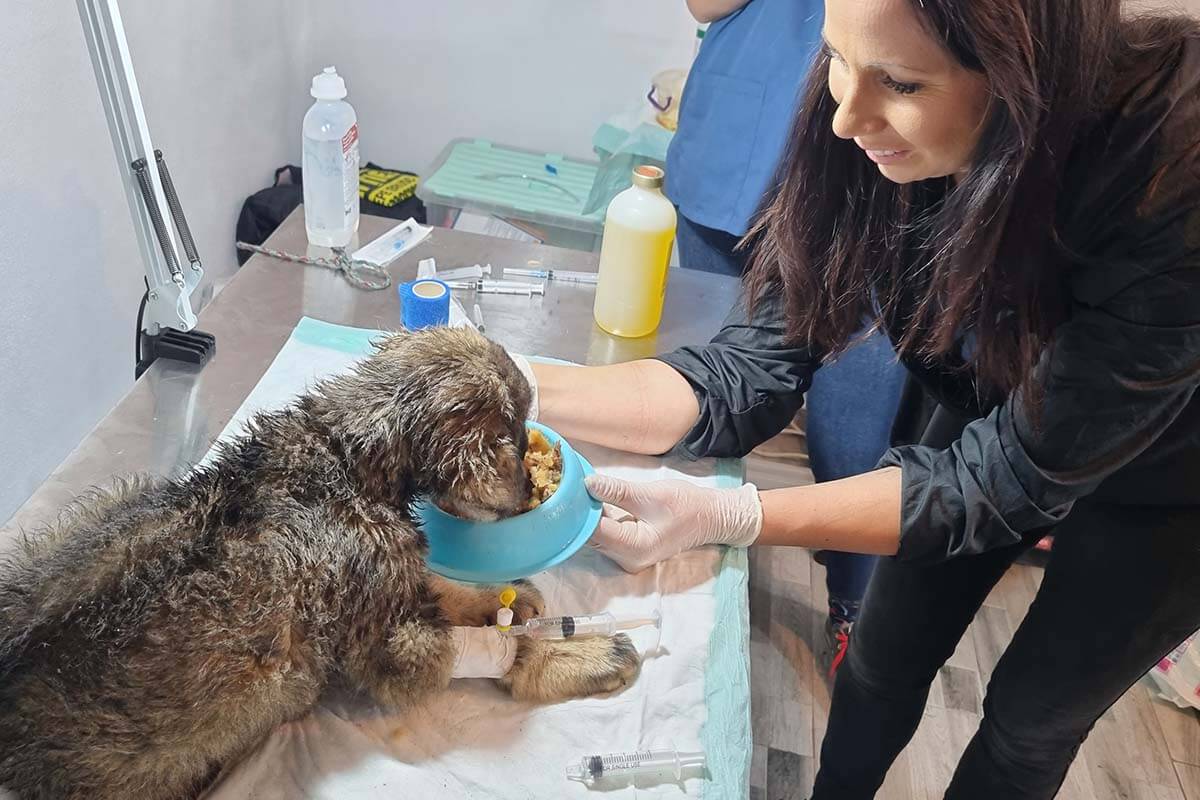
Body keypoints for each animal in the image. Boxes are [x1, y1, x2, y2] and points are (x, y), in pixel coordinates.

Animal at [0, 328, 643, 796]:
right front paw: (575, 654)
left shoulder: (391, 584)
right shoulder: (393, 643)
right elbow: (493, 648)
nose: (528, 492)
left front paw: (498, 599)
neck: (345, 456)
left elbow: (436, 584)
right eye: (510, 434)